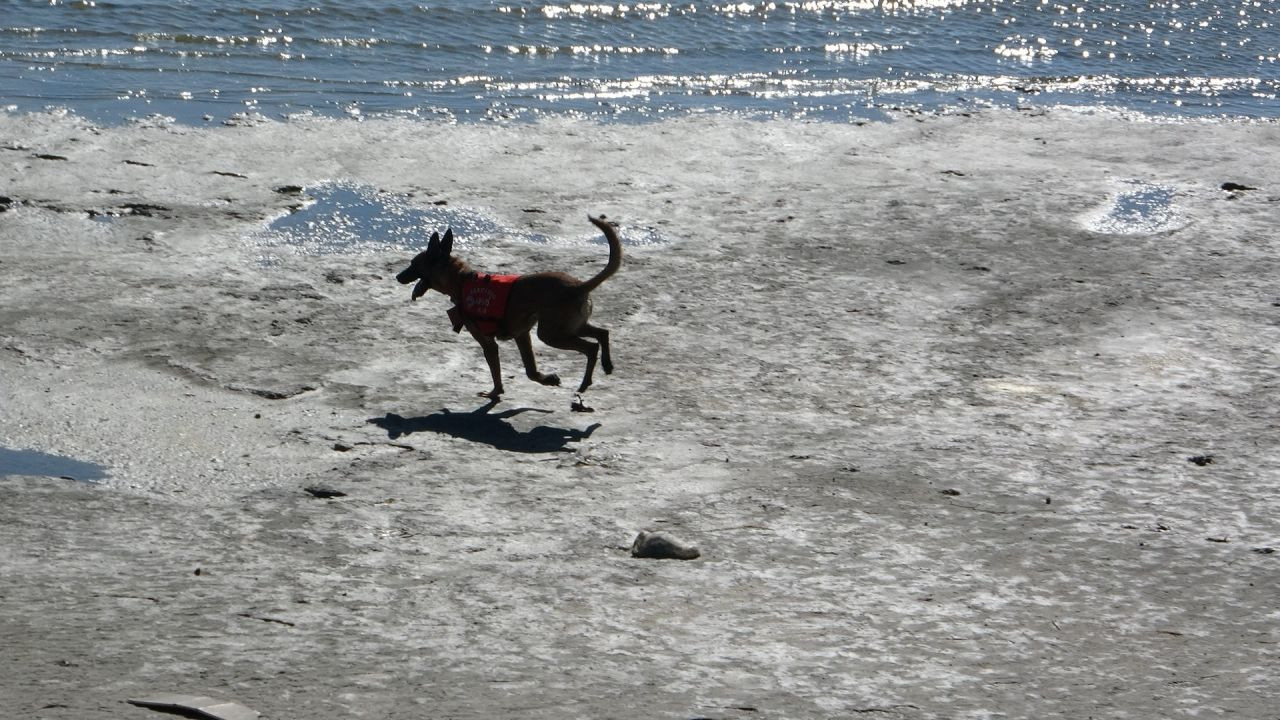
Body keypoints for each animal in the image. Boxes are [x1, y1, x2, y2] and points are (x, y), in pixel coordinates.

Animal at [396, 211, 622, 409]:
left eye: (413, 264)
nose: (398, 277)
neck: (461, 280)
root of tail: (579, 286)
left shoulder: (488, 343)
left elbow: (496, 372)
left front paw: (494, 393)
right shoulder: (522, 335)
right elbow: (530, 371)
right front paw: (547, 379)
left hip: (552, 334)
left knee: (591, 347)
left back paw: (585, 383)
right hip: (570, 327)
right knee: (603, 333)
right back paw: (607, 365)